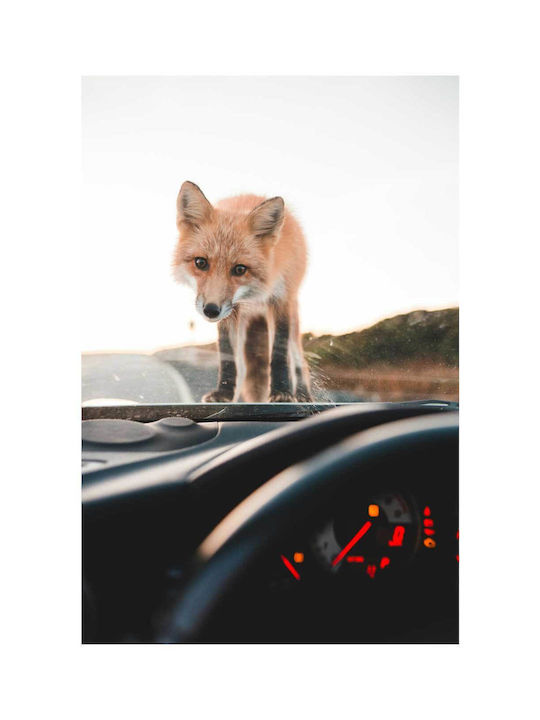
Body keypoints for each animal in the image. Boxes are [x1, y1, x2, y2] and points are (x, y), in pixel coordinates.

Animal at [172, 181, 312, 403]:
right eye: (201, 263)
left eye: (239, 269)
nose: (210, 310)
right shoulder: (231, 311)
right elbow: (227, 354)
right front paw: (224, 393)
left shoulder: (280, 299)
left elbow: (279, 352)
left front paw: (281, 391)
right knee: (244, 368)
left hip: (292, 313)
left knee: (298, 358)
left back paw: (302, 393)